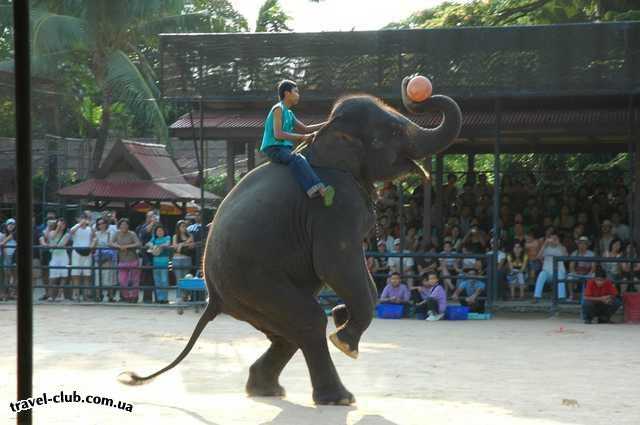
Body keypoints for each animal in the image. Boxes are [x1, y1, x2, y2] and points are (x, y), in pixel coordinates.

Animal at [119, 76, 460, 404]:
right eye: (392, 131)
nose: (416, 89)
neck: (326, 138)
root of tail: (211, 296)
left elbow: (360, 279)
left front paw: (341, 314)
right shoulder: (334, 206)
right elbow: (334, 265)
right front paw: (345, 340)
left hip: (247, 297)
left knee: (287, 333)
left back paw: (267, 389)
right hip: (255, 285)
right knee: (308, 320)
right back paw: (338, 397)